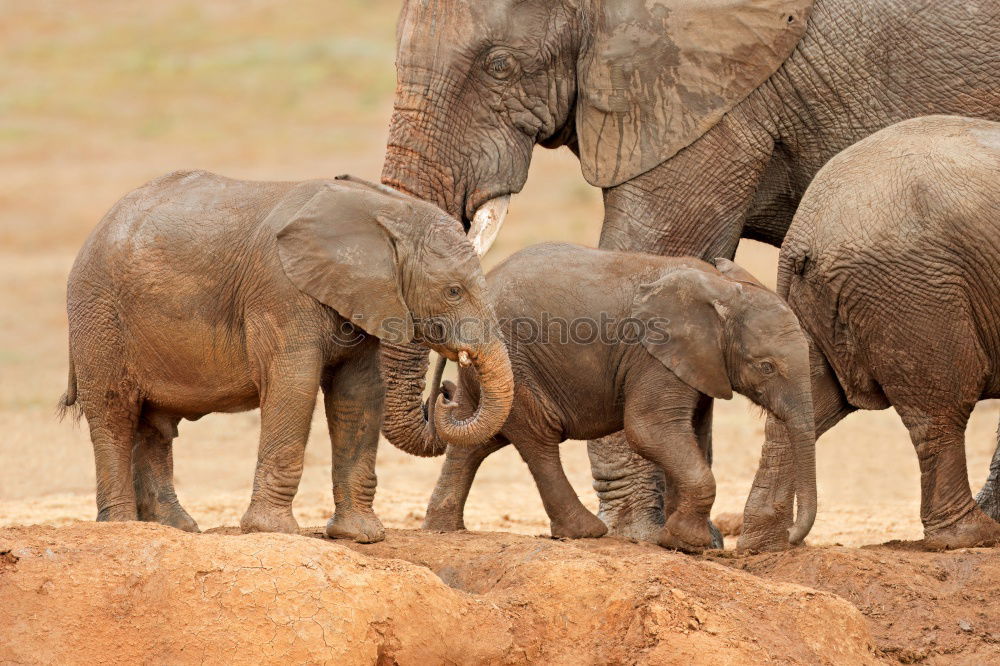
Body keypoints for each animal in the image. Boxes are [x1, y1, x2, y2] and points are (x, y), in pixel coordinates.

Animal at [61, 170, 512, 540]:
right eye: (453, 291)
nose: (446, 392)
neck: (382, 211)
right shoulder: (280, 292)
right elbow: (293, 386)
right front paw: (272, 531)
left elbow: (359, 395)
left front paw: (360, 536)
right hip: (99, 314)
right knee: (114, 413)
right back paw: (123, 527)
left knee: (154, 424)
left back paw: (175, 528)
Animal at [386, 243, 816, 548]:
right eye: (767, 367)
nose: (792, 538)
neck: (725, 290)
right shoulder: (653, 356)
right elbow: (648, 430)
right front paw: (687, 541)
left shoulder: (698, 363)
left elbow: (691, 432)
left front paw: (688, 541)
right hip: (517, 362)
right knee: (538, 436)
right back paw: (585, 532)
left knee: (478, 437)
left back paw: (444, 530)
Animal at [744, 115, 1000, 548]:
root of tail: (803, 235)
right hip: (914, 292)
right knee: (943, 404)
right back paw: (971, 536)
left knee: (808, 401)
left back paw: (765, 545)